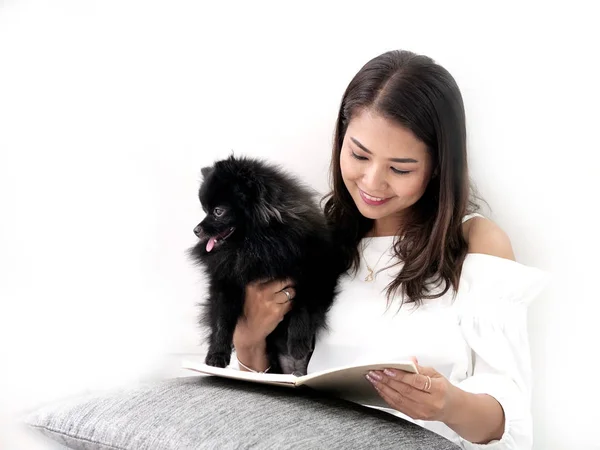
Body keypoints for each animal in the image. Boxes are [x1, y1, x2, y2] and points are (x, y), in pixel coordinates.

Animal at [188, 156, 340, 374]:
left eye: (217, 212)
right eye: (204, 210)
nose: (196, 229)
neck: (255, 247)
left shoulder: (315, 272)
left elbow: (302, 307)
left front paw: (298, 343)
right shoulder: (225, 282)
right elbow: (221, 321)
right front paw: (216, 355)